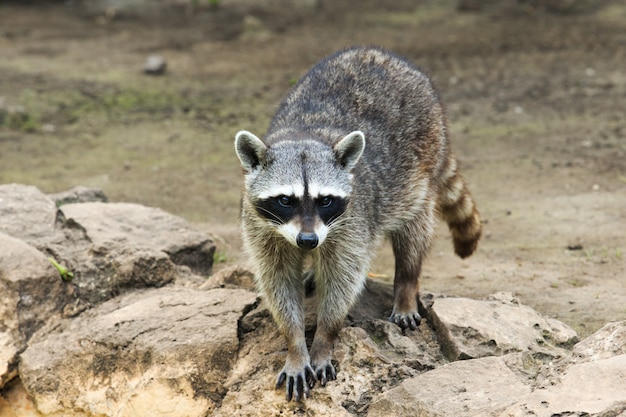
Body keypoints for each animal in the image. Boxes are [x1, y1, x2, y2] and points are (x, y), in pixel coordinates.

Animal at [232, 45, 480, 400]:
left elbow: (343, 278)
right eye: (285, 200)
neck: (306, 138)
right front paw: (295, 344)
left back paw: (406, 285)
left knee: (414, 230)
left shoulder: (352, 220)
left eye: (324, 200)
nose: (308, 241)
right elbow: (277, 280)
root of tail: (378, 53)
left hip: (420, 165)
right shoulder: (258, 224)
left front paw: (324, 340)